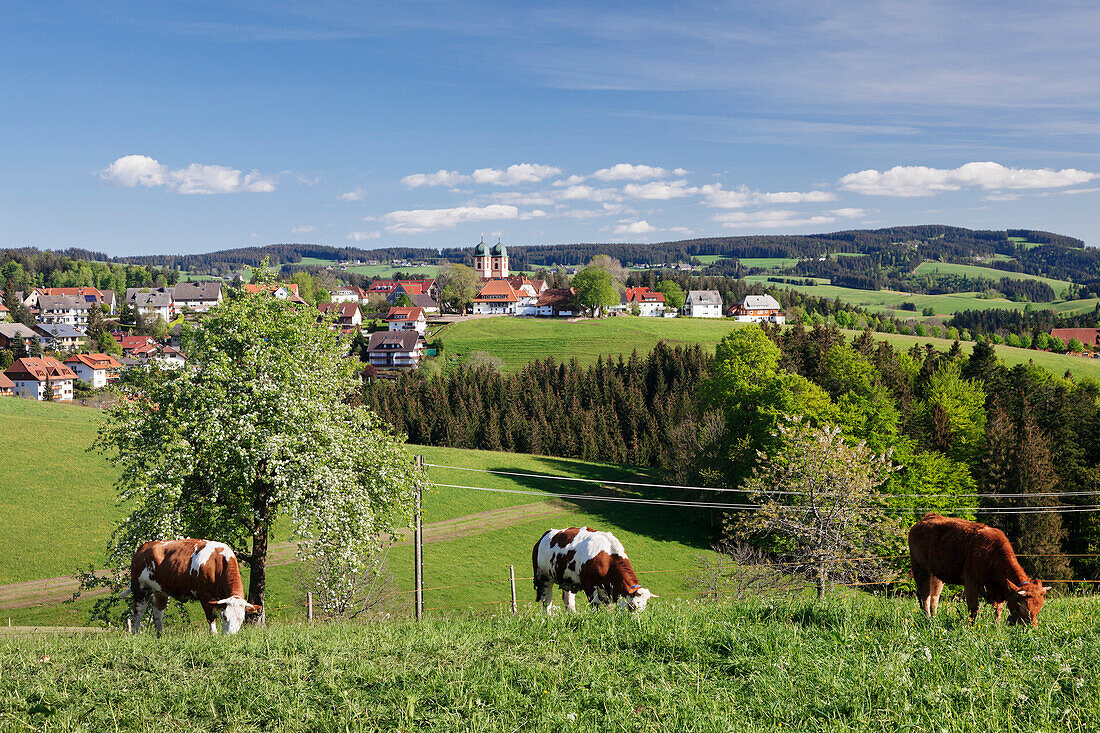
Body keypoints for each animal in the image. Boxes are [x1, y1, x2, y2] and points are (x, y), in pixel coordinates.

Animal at [123, 537, 261, 633]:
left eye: (241, 619)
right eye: (225, 617)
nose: (229, 636)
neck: (218, 564)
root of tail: (143, 547)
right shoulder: (205, 597)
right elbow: (211, 617)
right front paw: (214, 635)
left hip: (160, 591)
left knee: (158, 614)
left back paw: (160, 635)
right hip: (140, 589)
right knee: (138, 612)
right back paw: (135, 633)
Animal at [906, 510, 1051, 625]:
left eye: (1040, 608)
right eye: (1024, 607)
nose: (1032, 627)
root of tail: (927, 517)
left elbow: (998, 610)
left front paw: (997, 627)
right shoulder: (971, 582)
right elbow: (973, 608)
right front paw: (972, 628)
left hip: (936, 575)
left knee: (934, 597)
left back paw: (934, 619)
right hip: (921, 568)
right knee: (924, 596)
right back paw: (927, 619)